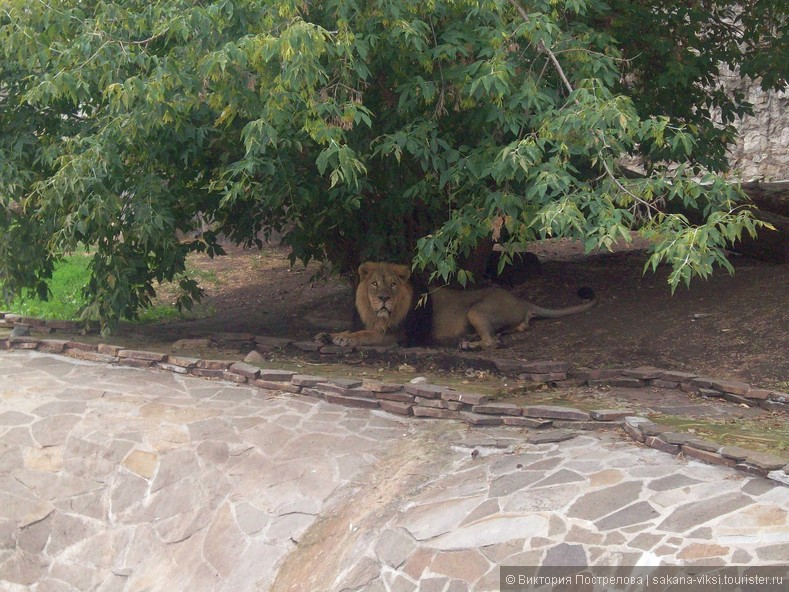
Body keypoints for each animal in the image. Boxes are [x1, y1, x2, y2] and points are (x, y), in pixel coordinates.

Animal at [318, 262, 596, 350]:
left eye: (393, 285)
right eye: (374, 284)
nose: (384, 298)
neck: (377, 314)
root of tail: (521, 300)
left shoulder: (397, 335)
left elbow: (364, 334)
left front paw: (346, 339)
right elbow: (349, 329)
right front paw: (328, 335)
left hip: (477, 309)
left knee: (493, 342)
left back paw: (469, 345)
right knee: (505, 333)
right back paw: (469, 339)